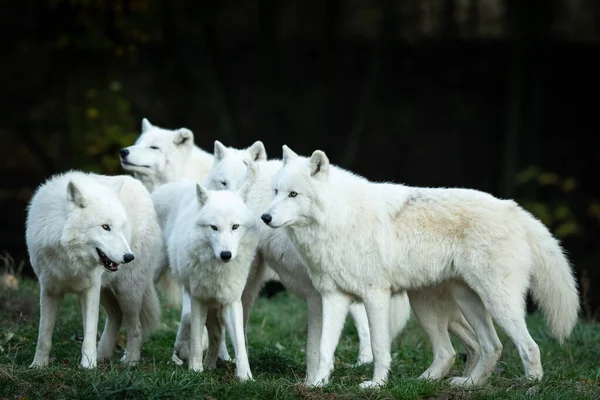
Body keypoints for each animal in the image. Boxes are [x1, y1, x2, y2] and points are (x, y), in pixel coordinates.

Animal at [25, 171, 163, 368]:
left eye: (121, 227)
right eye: (105, 227)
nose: (129, 257)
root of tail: (138, 183)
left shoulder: (90, 289)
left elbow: (89, 333)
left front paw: (88, 366)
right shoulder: (49, 290)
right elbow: (44, 334)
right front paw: (38, 365)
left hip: (127, 290)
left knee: (135, 326)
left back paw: (130, 360)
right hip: (106, 290)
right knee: (116, 317)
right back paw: (103, 354)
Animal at [155, 168, 258, 378]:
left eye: (235, 226)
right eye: (214, 227)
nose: (226, 255)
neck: (218, 271)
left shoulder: (231, 301)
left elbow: (239, 344)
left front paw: (245, 376)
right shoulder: (199, 299)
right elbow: (195, 340)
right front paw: (195, 370)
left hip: (216, 308)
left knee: (217, 335)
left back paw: (210, 364)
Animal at [262, 147, 580, 388]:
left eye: (293, 194)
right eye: (275, 191)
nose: (265, 217)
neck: (338, 219)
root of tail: (513, 209)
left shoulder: (375, 295)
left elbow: (379, 347)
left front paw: (376, 385)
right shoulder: (332, 297)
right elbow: (324, 349)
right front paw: (316, 384)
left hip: (496, 302)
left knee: (527, 345)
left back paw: (531, 385)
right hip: (443, 303)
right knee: (481, 348)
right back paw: (462, 384)